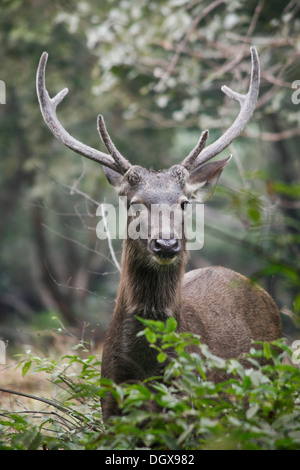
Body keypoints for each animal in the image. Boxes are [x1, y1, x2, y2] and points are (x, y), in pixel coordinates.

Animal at [37, 47, 282, 420]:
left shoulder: (195, 402)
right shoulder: (111, 404)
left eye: (184, 202)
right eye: (134, 203)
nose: (166, 243)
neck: (149, 370)